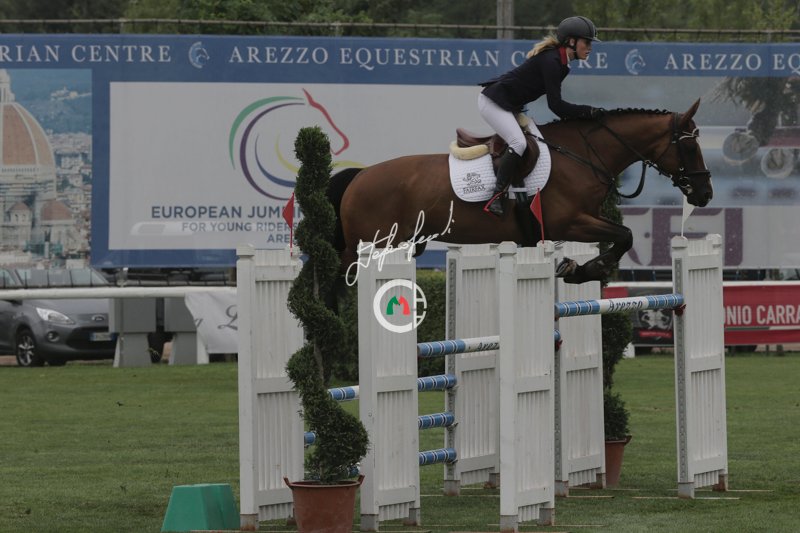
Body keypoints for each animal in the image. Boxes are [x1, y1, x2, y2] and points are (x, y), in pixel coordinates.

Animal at [327, 99, 712, 284]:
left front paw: (578, 269)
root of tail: (359, 177)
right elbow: (626, 235)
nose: (705, 193)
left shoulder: (583, 219)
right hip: (372, 244)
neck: (583, 155)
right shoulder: (568, 222)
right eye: (690, 146)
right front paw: (583, 271)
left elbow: (623, 235)